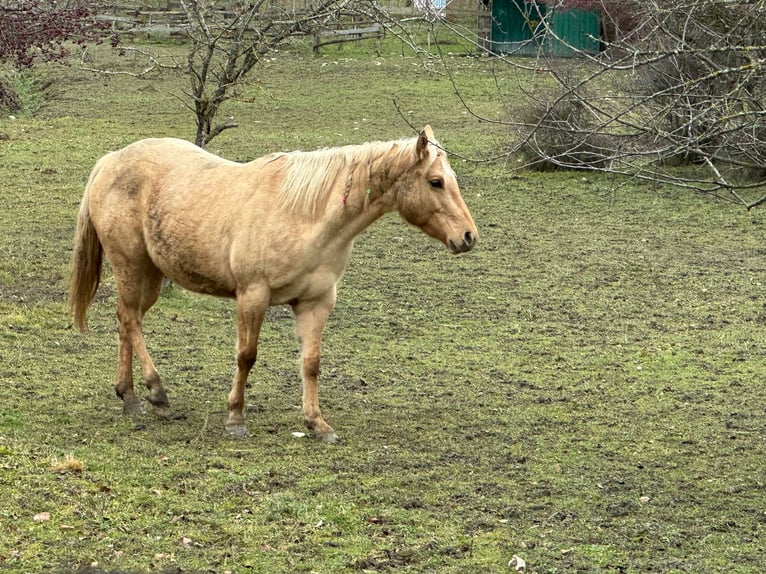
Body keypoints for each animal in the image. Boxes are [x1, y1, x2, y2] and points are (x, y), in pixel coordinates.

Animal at [69, 126, 478, 442]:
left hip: (152, 276)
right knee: (131, 320)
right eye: (436, 182)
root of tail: (112, 160)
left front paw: (317, 424)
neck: (303, 216)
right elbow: (246, 356)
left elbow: (311, 363)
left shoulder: (316, 302)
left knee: (126, 319)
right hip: (131, 266)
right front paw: (235, 418)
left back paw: (129, 396)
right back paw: (156, 392)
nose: (468, 236)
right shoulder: (253, 296)